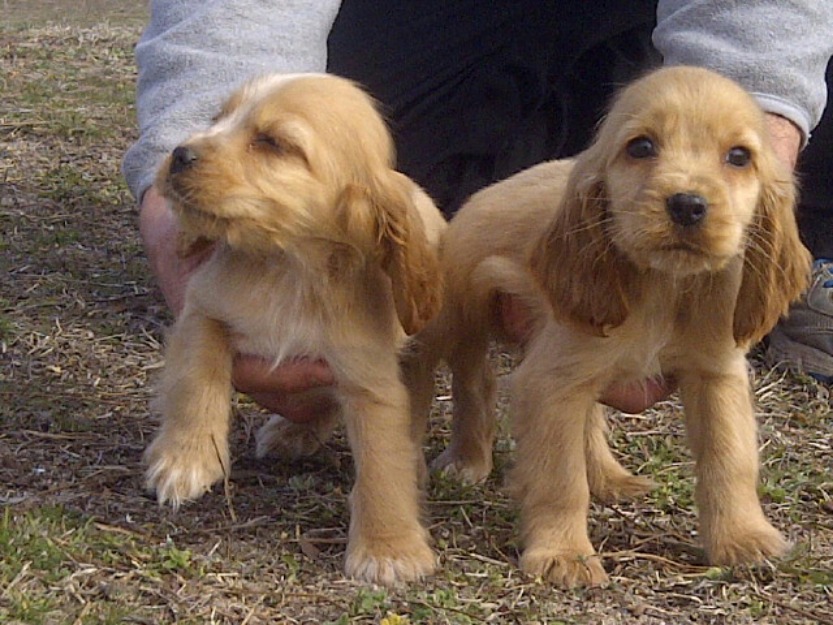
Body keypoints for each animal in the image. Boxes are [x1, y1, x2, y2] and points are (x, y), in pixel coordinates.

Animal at [144, 73, 446, 584]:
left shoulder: (371, 380)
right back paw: (291, 432)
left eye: (273, 143)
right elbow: (194, 380)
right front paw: (185, 459)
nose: (180, 154)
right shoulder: (202, 309)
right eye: (218, 117)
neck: (287, 269)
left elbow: (384, 462)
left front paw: (389, 548)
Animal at [406, 67, 808, 584]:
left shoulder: (715, 374)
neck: (664, 286)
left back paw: (610, 478)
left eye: (739, 157)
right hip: (453, 320)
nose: (687, 204)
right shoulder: (552, 380)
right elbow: (560, 479)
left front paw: (742, 538)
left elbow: (729, 459)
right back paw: (461, 461)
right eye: (641, 147)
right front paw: (563, 554)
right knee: (458, 382)